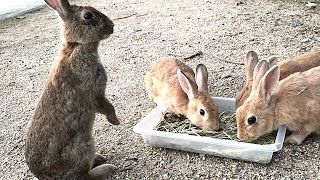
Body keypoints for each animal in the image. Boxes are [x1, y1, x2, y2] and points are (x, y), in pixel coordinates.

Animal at [25, 0, 120, 180]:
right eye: (88, 16)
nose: (112, 26)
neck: (76, 46)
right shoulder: (95, 93)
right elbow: (107, 106)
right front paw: (115, 122)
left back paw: (100, 158)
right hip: (84, 146)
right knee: (84, 176)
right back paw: (107, 168)